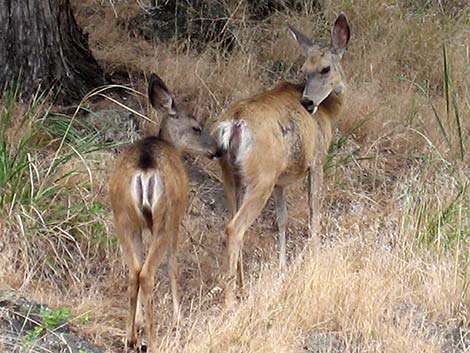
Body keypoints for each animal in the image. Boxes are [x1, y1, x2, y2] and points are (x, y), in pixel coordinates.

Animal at [110, 73, 220, 350]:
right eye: (196, 127)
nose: (216, 150)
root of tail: (145, 169)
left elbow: (139, 264)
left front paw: (138, 322)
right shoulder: (178, 218)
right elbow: (173, 265)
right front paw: (178, 317)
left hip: (122, 216)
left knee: (134, 272)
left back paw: (130, 337)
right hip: (164, 215)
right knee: (147, 273)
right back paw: (152, 341)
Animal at [217, 13, 348, 304]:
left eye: (324, 69)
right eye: (304, 70)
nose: (308, 102)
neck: (329, 113)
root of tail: (235, 124)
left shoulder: (280, 181)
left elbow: (282, 219)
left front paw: (282, 268)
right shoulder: (317, 160)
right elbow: (314, 210)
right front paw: (314, 259)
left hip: (231, 176)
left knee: (230, 220)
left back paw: (241, 286)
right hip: (261, 178)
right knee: (235, 228)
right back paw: (230, 300)